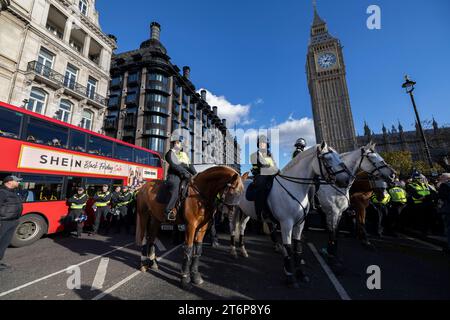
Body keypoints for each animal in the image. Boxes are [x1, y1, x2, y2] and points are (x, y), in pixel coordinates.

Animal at [234, 142, 354, 288]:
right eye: (327, 158)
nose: (347, 180)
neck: (293, 187)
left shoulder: (300, 224)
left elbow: (297, 248)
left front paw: (300, 274)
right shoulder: (286, 224)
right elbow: (288, 248)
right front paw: (290, 277)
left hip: (246, 213)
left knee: (241, 227)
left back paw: (243, 250)